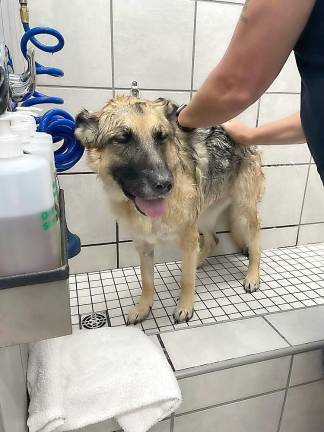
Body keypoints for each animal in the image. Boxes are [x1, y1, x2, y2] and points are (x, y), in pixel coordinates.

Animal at [74, 96, 264, 322]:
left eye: (161, 137)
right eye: (122, 139)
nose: (165, 184)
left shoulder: (188, 237)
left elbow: (187, 280)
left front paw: (185, 306)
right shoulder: (144, 245)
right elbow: (147, 281)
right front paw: (143, 307)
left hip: (244, 210)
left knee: (255, 242)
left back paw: (252, 276)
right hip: (203, 215)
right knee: (212, 240)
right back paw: (197, 262)